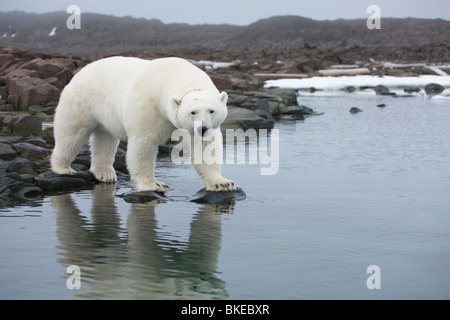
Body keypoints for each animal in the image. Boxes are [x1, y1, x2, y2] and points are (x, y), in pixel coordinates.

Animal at [50, 56, 236, 192]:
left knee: (105, 140)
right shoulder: (149, 105)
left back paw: (105, 173)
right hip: (80, 101)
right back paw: (63, 168)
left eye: (211, 110)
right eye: (193, 112)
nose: (203, 128)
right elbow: (144, 143)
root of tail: (80, 72)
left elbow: (205, 147)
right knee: (71, 133)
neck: (175, 75)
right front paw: (153, 184)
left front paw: (222, 183)